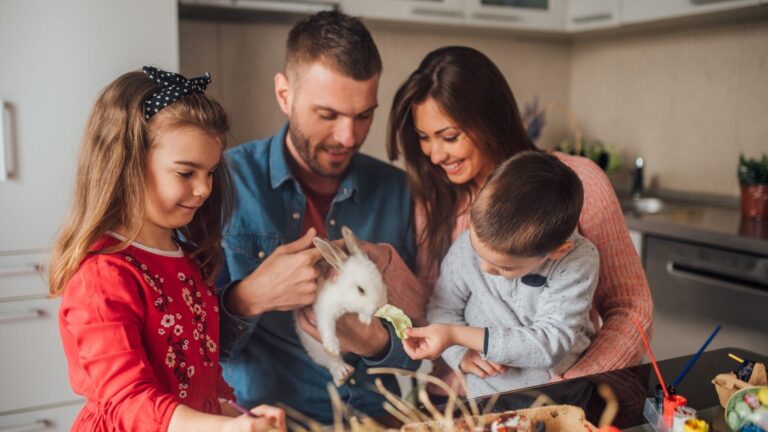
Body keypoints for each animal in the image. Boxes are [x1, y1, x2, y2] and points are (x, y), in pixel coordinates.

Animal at [296, 228, 390, 386]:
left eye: (381, 280)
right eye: (360, 289)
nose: (380, 306)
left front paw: (365, 319)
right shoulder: (324, 309)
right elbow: (327, 325)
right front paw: (332, 347)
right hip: (315, 349)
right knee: (331, 362)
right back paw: (343, 373)